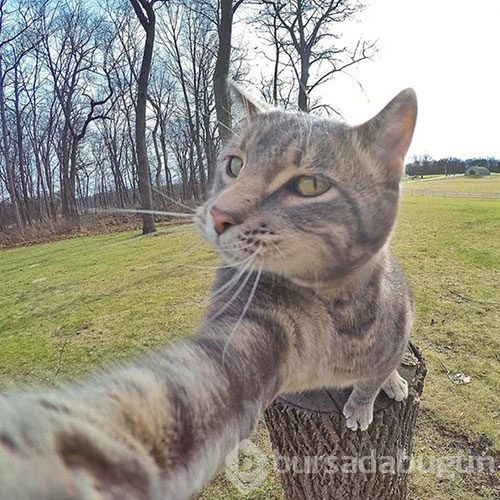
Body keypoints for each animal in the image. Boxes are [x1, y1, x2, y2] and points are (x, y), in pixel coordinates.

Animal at [0, 84, 416, 498]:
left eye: (310, 185)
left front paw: (364, 402)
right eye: (234, 166)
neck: (334, 307)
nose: (219, 214)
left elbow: (371, 379)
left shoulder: (391, 336)